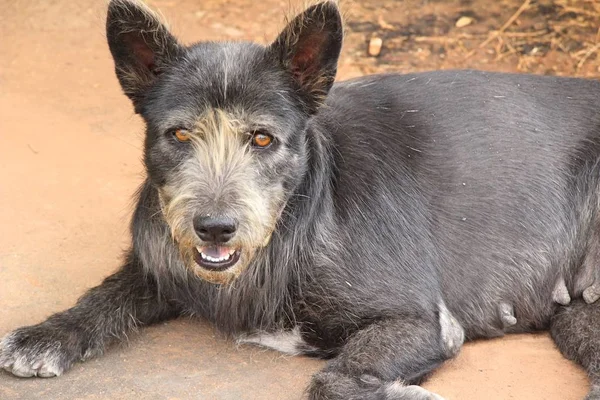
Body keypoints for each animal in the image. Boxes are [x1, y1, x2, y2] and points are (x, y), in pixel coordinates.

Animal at [1, 0, 600, 396]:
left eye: (263, 138)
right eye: (179, 134)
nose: (214, 228)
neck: (297, 224)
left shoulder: (421, 320)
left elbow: (330, 382)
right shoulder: (161, 265)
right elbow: (107, 293)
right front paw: (47, 333)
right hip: (577, 316)